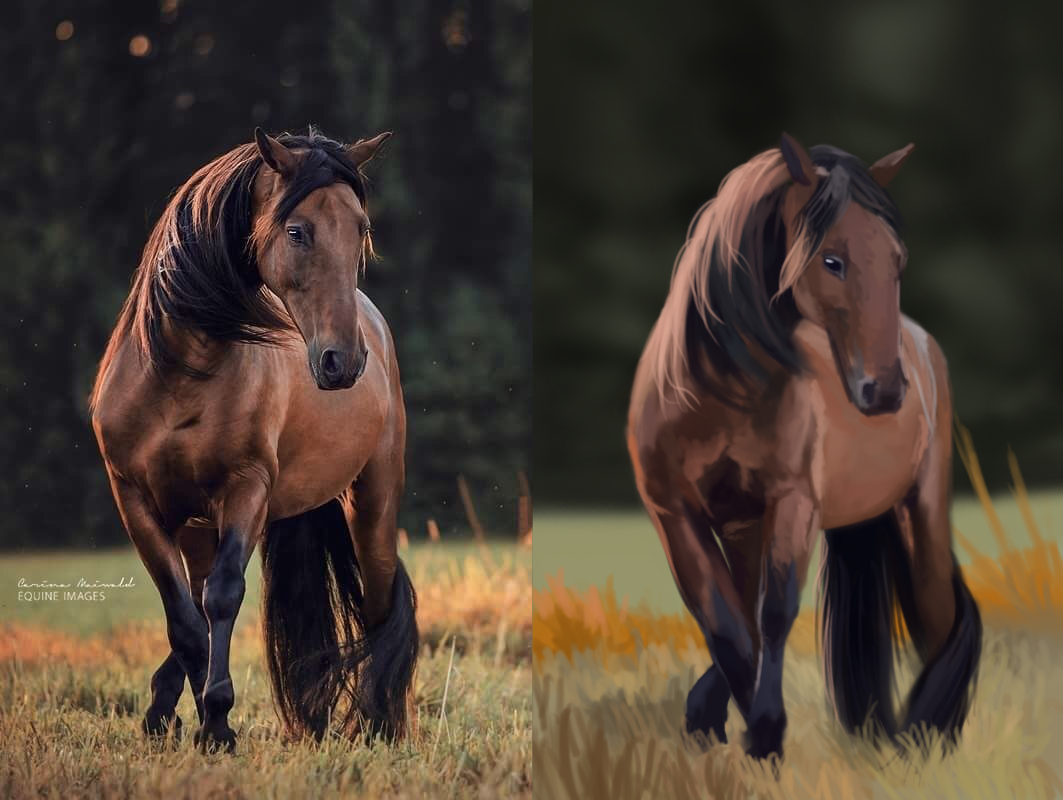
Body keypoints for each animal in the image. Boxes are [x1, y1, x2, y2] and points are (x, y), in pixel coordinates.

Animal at [89, 128, 418, 752]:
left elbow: (221, 596)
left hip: (372, 502)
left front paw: (217, 720)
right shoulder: (134, 501)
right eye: (297, 231)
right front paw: (196, 717)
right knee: (194, 605)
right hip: (198, 523)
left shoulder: (246, 490)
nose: (344, 361)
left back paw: (380, 724)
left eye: (360, 228)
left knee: (379, 600)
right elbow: (184, 617)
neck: (179, 374)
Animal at [627, 134, 982, 762]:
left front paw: (763, 734)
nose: (885, 390)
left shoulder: (793, 504)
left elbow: (771, 613)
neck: (715, 393)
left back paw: (930, 738)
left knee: (940, 614)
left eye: (898, 260)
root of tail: (921, 341)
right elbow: (724, 622)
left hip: (921, 514)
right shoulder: (676, 514)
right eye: (832, 260)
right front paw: (733, 726)